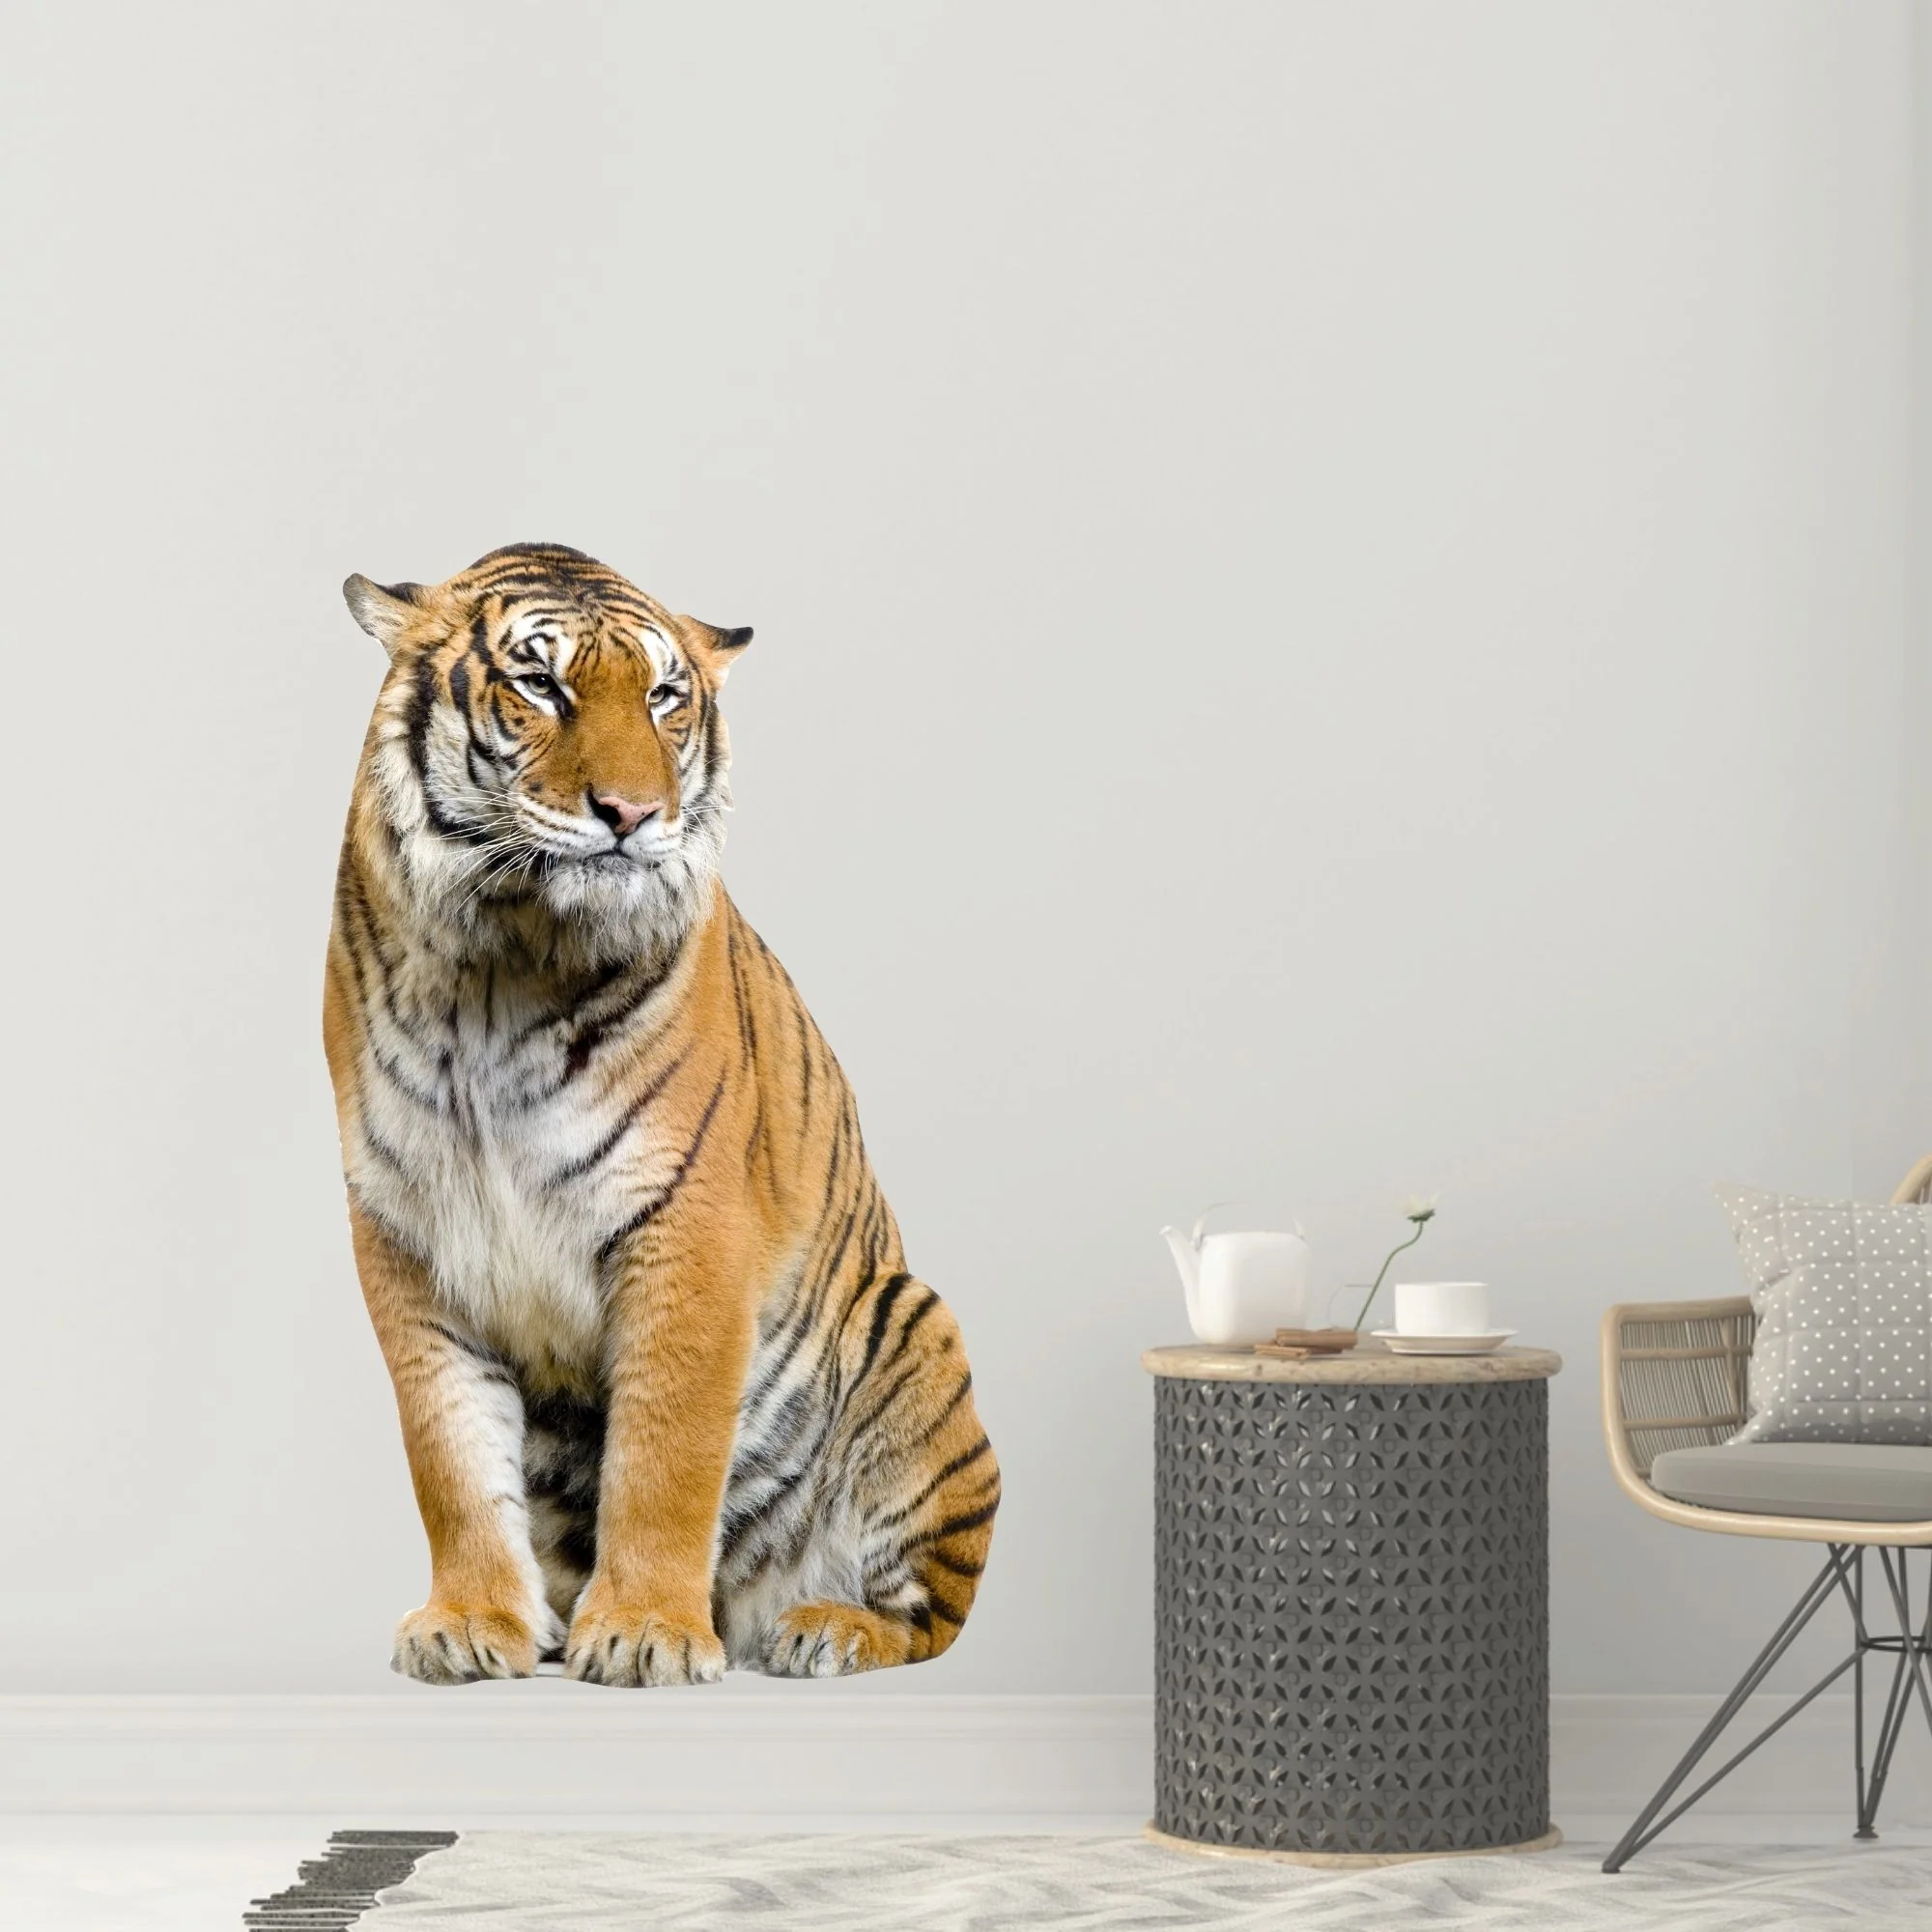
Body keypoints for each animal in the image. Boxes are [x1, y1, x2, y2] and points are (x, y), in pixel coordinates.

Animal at [322, 542, 998, 1687]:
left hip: (913, 1325)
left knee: (932, 1616)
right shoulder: (406, 1234)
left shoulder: (685, 1223)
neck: (499, 964)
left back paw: (824, 1627)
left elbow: (665, 1450)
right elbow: (449, 1452)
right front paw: (471, 1621)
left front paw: (642, 1629)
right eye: (540, 684)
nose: (631, 814)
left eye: (662, 696)